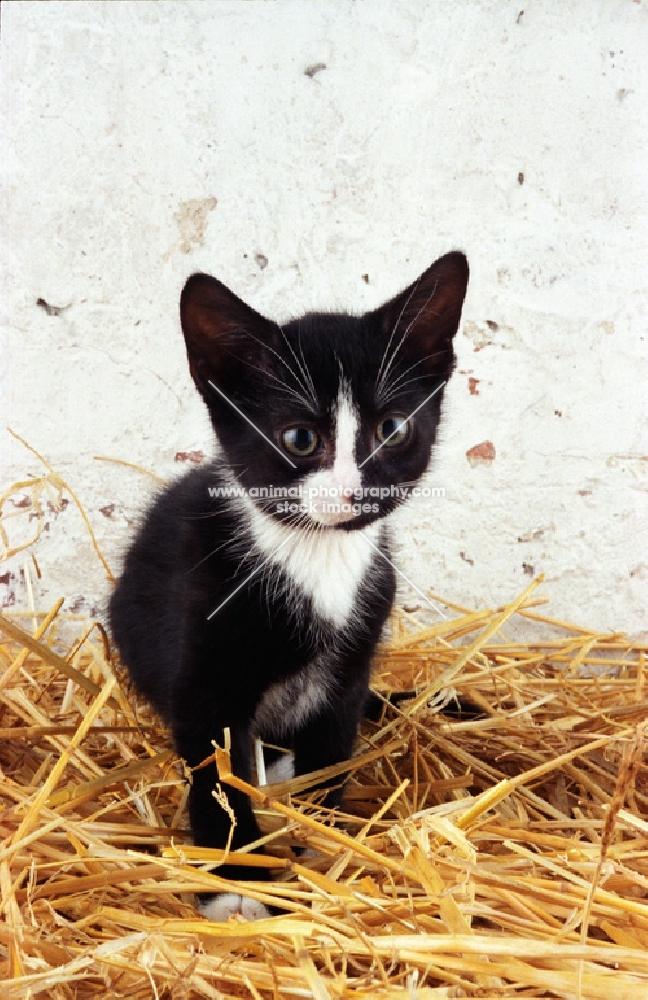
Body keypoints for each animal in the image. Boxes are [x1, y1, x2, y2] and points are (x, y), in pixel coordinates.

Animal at [109, 250, 468, 920]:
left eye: (393, 429)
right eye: (300, 438)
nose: (354, 492)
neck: (317, 556)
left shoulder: (350, 668)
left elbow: (332, 753)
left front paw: (325, 846)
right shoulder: (203, 675)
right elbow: (215, 775)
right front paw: (235, 883)